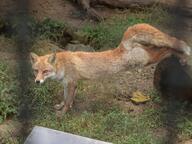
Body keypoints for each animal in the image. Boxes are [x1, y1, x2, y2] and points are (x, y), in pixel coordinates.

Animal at [30, 23, 190, 113]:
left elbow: (68, 101)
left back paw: (183, 55)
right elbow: (66, 99)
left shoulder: (72, 83)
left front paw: (62, 114)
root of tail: (122, 46)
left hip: (145, 60)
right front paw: (62, 107)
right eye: (36, 71)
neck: (63, 65)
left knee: (167, 47)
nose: (37, 82)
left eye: (45, 71)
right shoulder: (68, 84)